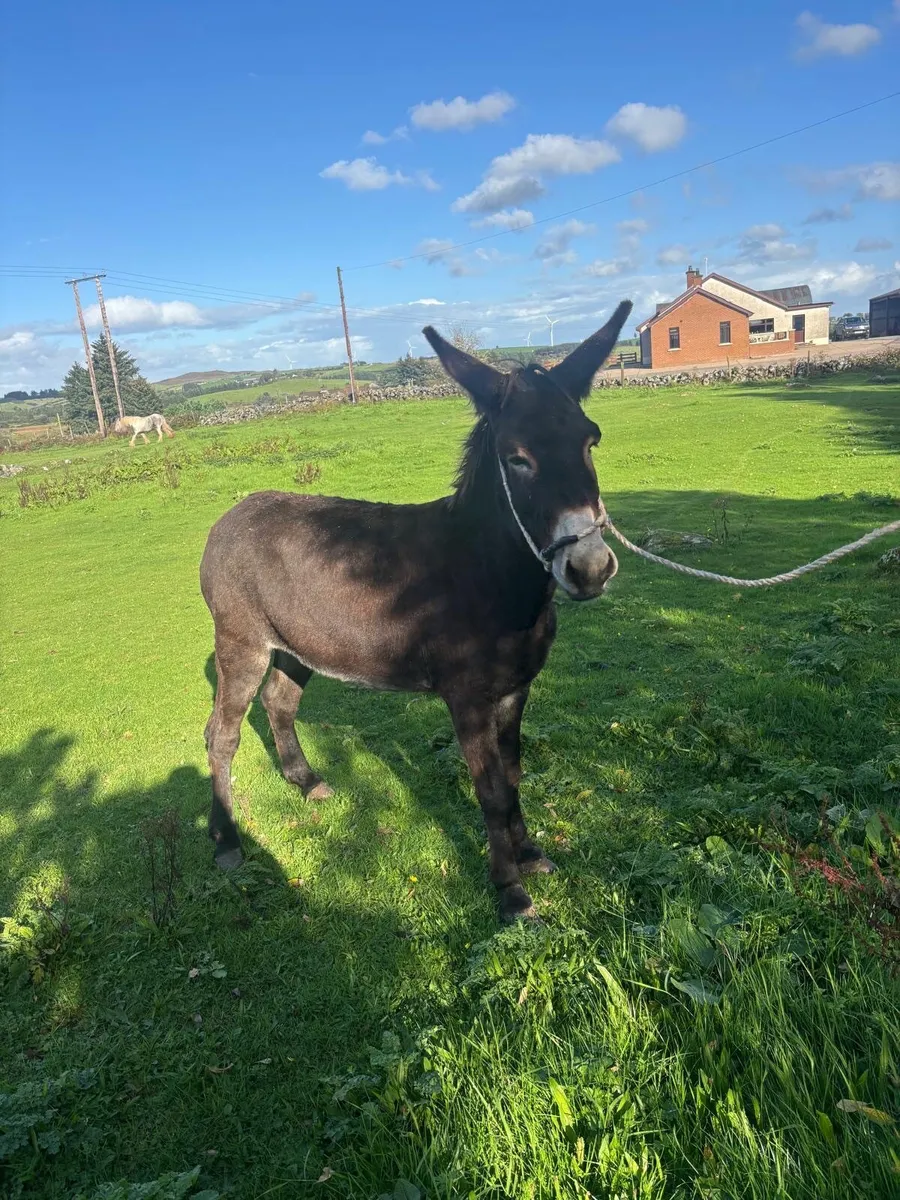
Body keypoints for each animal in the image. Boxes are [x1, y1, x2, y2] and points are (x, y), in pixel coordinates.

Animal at [200, 300, 632, 923]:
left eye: (590, 442)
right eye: (517, 459)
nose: (590, 567)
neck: (489, 573)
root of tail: (229, 515)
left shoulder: (515, 689)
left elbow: (515, 774)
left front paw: (528, 852)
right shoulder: (466, 696)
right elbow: (490, 788)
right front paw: (510, 891)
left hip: (298, 643)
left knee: (280, 703)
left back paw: (306, 782)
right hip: (241, 642)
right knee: (222, 734)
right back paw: (228, 840)